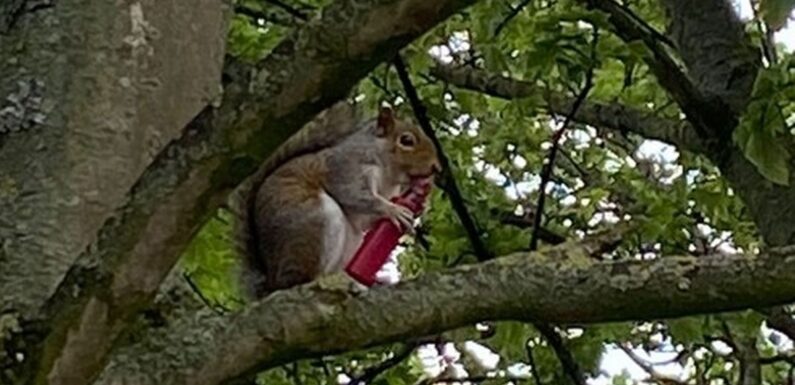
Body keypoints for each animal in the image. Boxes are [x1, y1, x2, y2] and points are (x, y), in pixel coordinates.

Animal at [233, 102, 442, 296]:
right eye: (406, 140)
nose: (436, 168)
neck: (388, 174)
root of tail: (271, 280)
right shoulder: (345, 169)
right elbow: (354, 195)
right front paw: (394, 210)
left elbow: (365, 219)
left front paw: (419, 206)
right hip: (313, 222)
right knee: (298, 280)